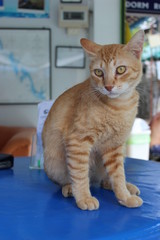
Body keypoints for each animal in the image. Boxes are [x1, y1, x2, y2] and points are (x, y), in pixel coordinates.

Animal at [42, 29, 144, 210]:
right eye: (98, 72)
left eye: (121, 69)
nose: (108, 86)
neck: (119, 107)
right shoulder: (78, 141)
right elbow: (79, 174)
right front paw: (84, 197)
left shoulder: (114, 146)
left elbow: (118, 176)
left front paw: (124, 196)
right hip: (53, 163)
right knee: (67, 180)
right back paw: (69, 188)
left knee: (105, 180)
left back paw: (127, 187)